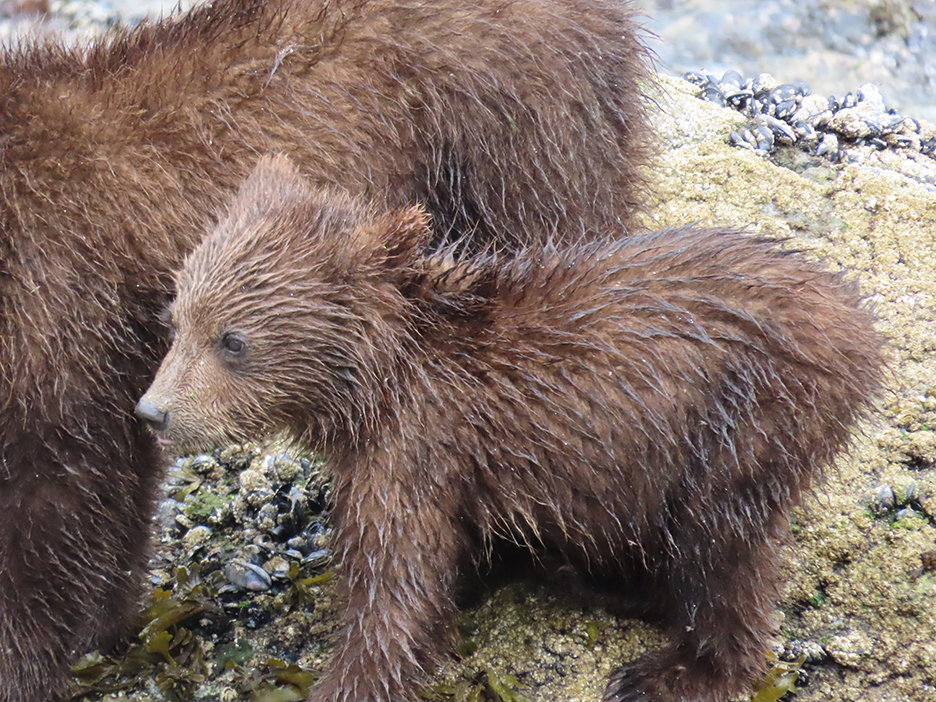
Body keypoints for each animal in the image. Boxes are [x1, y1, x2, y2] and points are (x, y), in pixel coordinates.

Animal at [139, 157, 884, 700]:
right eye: (176, 318)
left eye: (233, 340)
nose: (154, 412)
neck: (374, 384)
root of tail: (855, 317)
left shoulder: (415, 450)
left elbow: (394, 584)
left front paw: (347, 677)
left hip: (743, 420)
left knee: (722, 548)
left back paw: (672, 670)